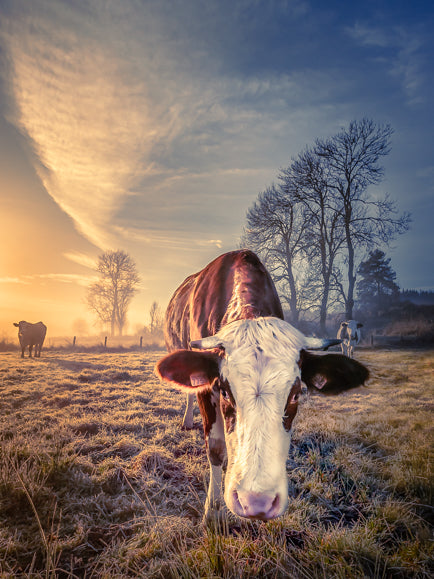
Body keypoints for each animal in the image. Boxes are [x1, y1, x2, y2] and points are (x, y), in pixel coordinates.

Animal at [154, 251, 368, 524]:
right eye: (225, 392)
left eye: (296, 395)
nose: (257, 503)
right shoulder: (207, 388)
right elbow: (216, 448)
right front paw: (213, 511)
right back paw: (188, 421)